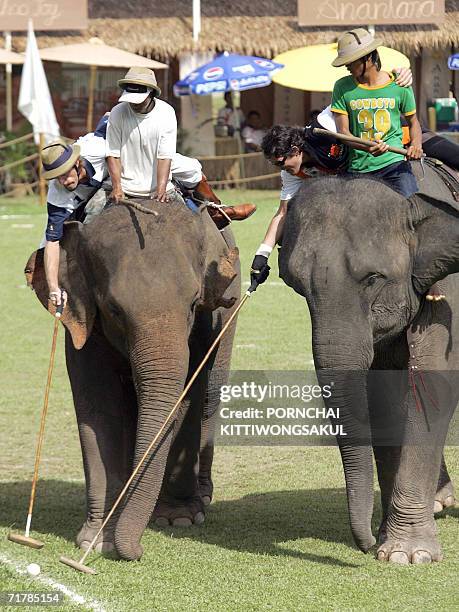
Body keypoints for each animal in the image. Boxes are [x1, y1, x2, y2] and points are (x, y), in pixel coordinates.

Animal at [25, 195, 241, 560]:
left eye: (193, 303)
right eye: (114, 309)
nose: (137, 550)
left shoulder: (205, 322)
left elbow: (190, 393)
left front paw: (178, 520)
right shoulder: (83, 321)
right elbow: (99, 405)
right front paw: (97, 542)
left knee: (210, 397)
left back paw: (202, 496)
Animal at [280, 163, 459, 564]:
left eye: (373, 278)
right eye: (296, 284)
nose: (364, 547)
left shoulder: (453, 292)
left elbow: (434, 383)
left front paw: (407, 554)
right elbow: (384, 396)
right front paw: (386, 539)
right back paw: (439, 502)